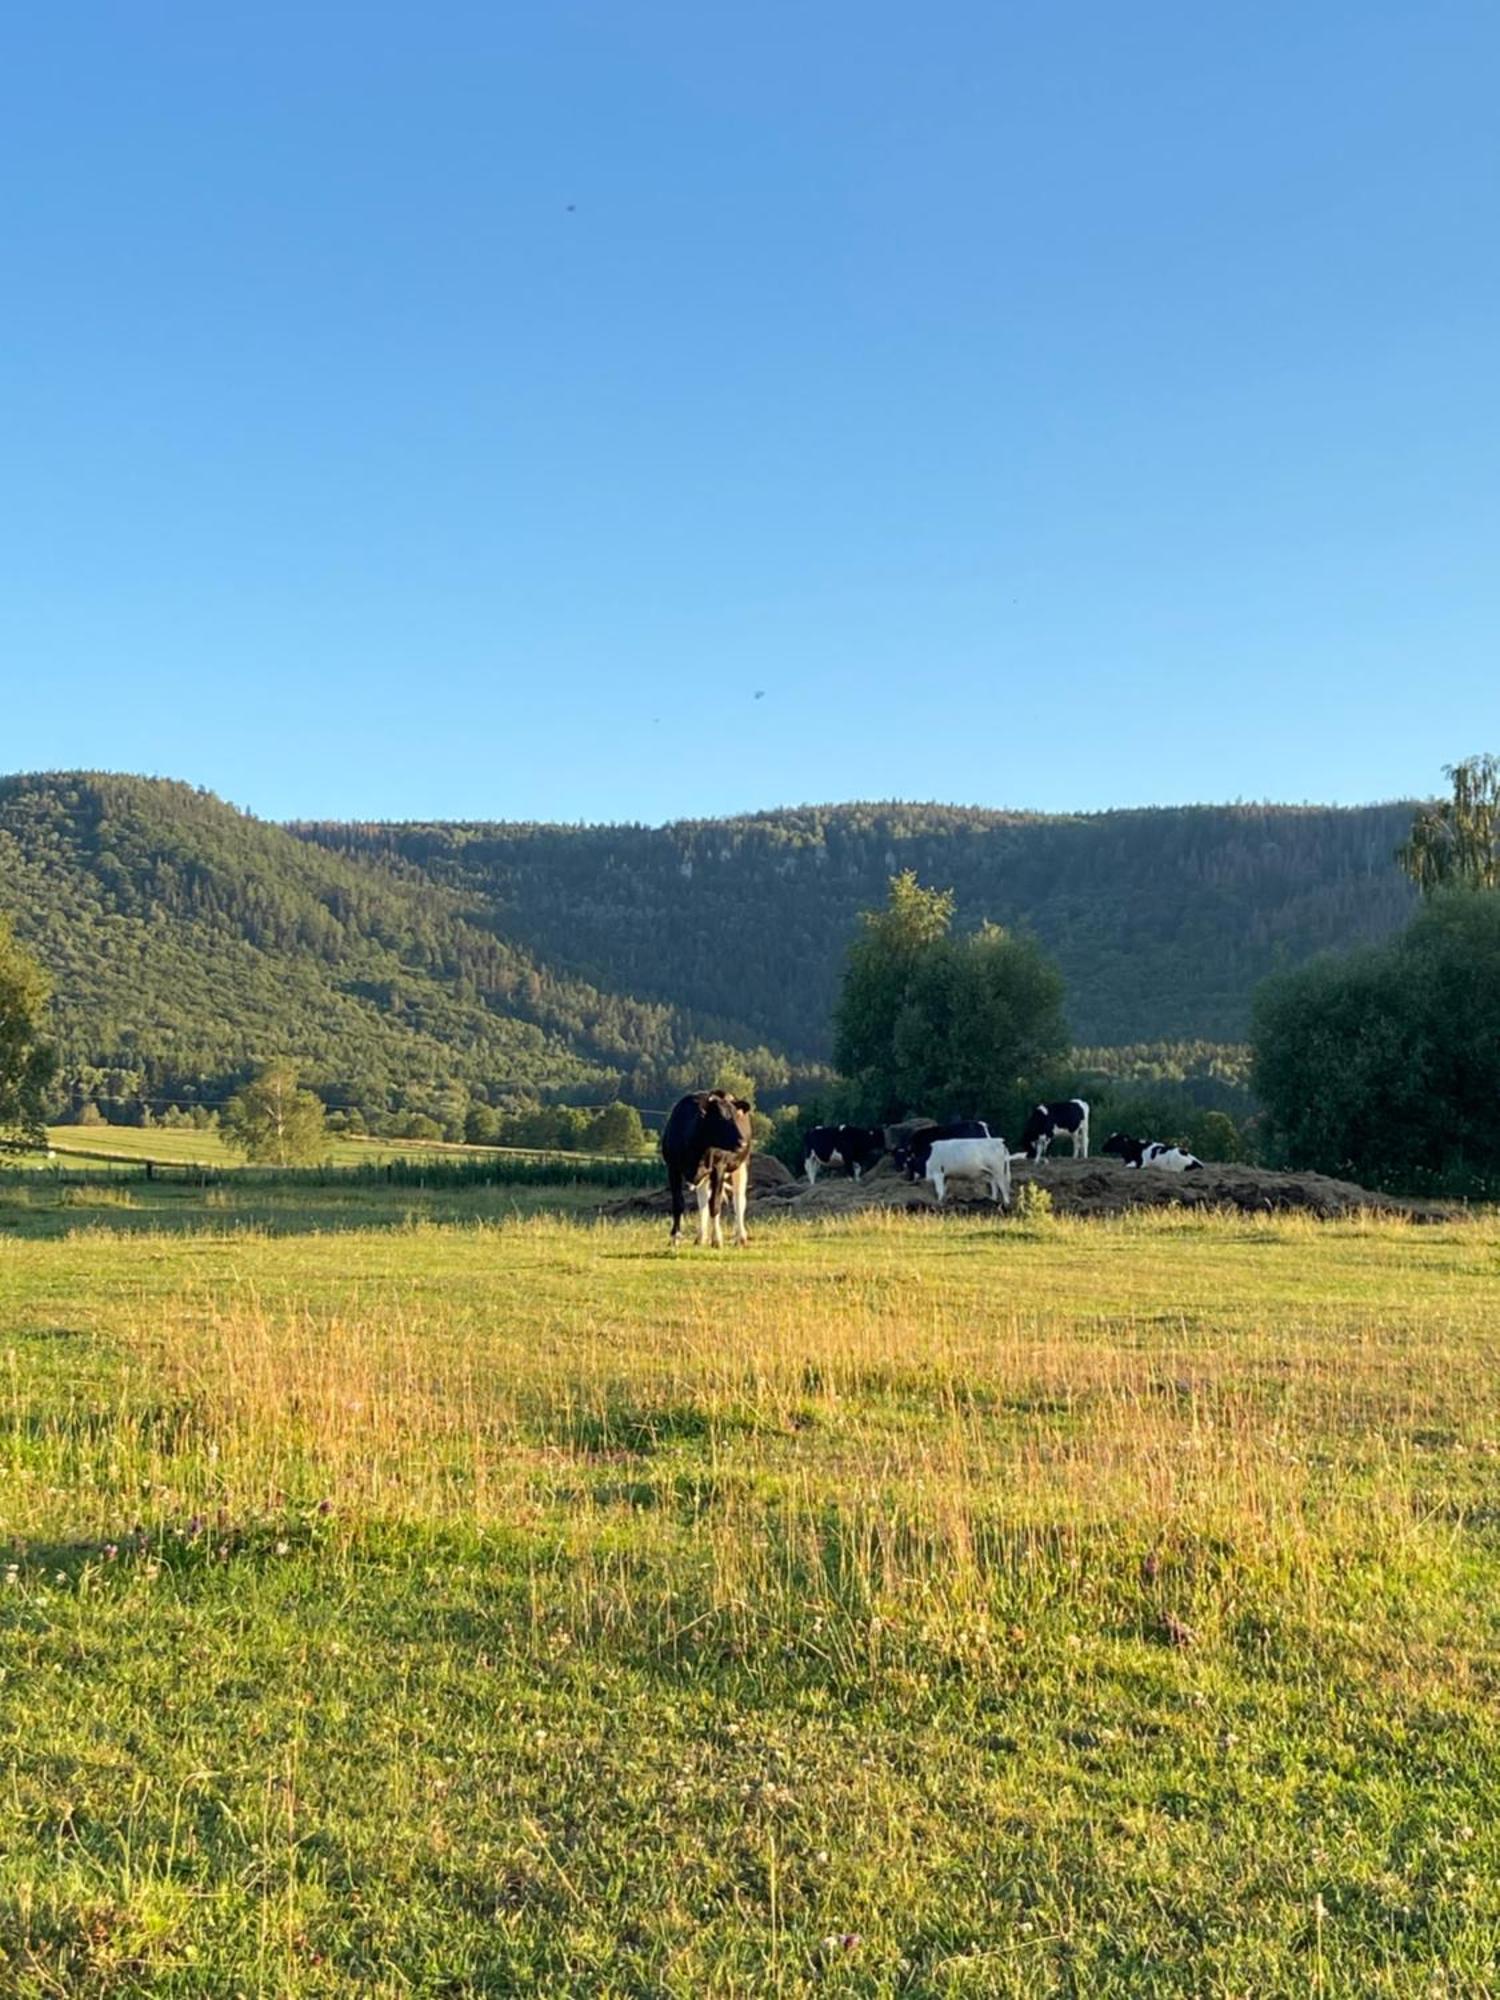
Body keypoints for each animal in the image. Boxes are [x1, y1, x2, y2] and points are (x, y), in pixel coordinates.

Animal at [664, 1088, 756, 1240]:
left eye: (737, 1117)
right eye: (720, 1119)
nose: (742, 1143)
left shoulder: (719, 1168)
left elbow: (715, 1204)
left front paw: (717, 1239)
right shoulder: (673, 1168)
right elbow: (678, 1203)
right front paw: (675, 1236)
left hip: (741, 1165)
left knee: (738, 1200)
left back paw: (740, 1236)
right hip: (705, 1177)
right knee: (703, 1202)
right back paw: (701, 1237)